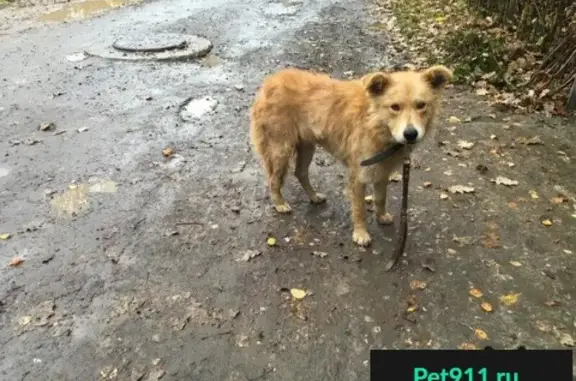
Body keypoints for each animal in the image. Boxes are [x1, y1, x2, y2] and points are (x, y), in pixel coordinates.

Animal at [250, 64, 452, 246]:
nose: (410, 134)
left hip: (307, 147)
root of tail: (271, 81)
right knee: (273, 180)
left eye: (421, 105)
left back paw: (314, 197)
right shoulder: (358, 175)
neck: (375, 121)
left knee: (300, 173)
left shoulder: (382, 171)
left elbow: (380, 198)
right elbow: (359, 208)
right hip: (280, 150)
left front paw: (380, 216)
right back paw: (279, 203)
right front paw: (361, 233)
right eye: (395, 107)